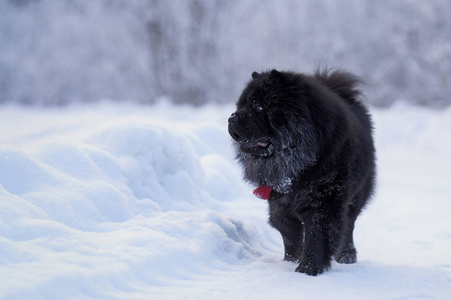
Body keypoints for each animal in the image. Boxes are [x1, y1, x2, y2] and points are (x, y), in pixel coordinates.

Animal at [228, 69, 376, 276]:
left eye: (258, 106)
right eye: (242, 105)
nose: (232, 117)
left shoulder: (323, 204)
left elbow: (316, 238)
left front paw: (308, 269)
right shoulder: (279, 206)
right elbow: (291, 238)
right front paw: (291, 262)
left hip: (356, 197)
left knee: (348, 226)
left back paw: (347, 256)